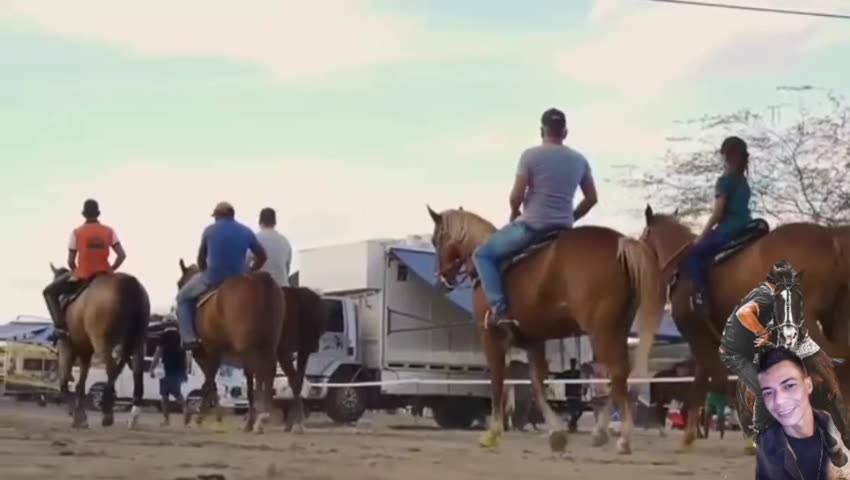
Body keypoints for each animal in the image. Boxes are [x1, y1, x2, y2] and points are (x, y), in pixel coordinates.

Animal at [50, 263, 150, 429]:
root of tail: (130, 284)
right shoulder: (85, 352)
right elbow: (80, 384)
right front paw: (80, 414)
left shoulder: (67, 346)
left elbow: (64, 381)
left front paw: (76, 414)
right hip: (138, 339)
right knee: (136, 370)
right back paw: (133, 415)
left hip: (102, 342)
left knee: (111, 369)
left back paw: (107, 411)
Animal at [176, 259, 285, 434]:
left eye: (179, 283)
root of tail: (260, 280)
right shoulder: (215, 353)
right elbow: (211, 382)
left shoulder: (207, 353)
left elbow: (209, 382)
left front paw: (199, 415)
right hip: (268, 345)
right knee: (267, 373)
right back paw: (262, 417)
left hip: (246, 348)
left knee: (254, 376)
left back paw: (255, 419)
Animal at [426, 206, 665, 454]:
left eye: (435, 239)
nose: (441, 280)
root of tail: (621, 242)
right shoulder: (534, 340)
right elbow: (537, 384)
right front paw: (556, 432)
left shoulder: (491, 337)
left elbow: (497, 383)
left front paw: (493, 433)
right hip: (616, 329)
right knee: (618, 377)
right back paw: (601, 432)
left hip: (602, 331)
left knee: (617, 374)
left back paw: (622, 438)